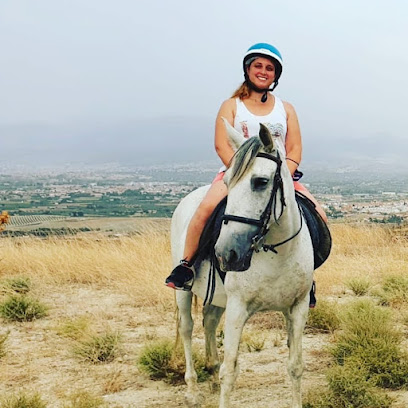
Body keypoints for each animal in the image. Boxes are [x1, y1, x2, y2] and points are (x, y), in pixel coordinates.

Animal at [171, 121, 314, 408]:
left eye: (260, 182)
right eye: (227, 183)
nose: (226, 254)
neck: (277, 253)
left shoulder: (298, 306)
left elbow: (295, 366)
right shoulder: (238, 307)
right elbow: (231, 370)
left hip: (216, 296)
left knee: (209, 321)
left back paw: (211, 371)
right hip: (184, 290)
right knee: (187, 328)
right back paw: (192, 389)